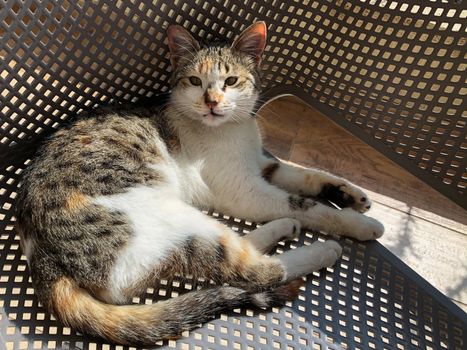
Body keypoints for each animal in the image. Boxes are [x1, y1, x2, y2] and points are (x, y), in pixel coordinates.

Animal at [16, 22, 386, 348]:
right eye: (195, 81)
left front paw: (355, 196)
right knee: (255, 271)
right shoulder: (246, 192)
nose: (212, 102)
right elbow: (309, 205)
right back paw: (323, 250)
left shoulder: (263, 165)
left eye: (231, 81)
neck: (234, 130)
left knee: (240, 249)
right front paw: (360, 224)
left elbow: (309, 175)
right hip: (175, 219)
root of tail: (44, 262)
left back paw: (284, 227)